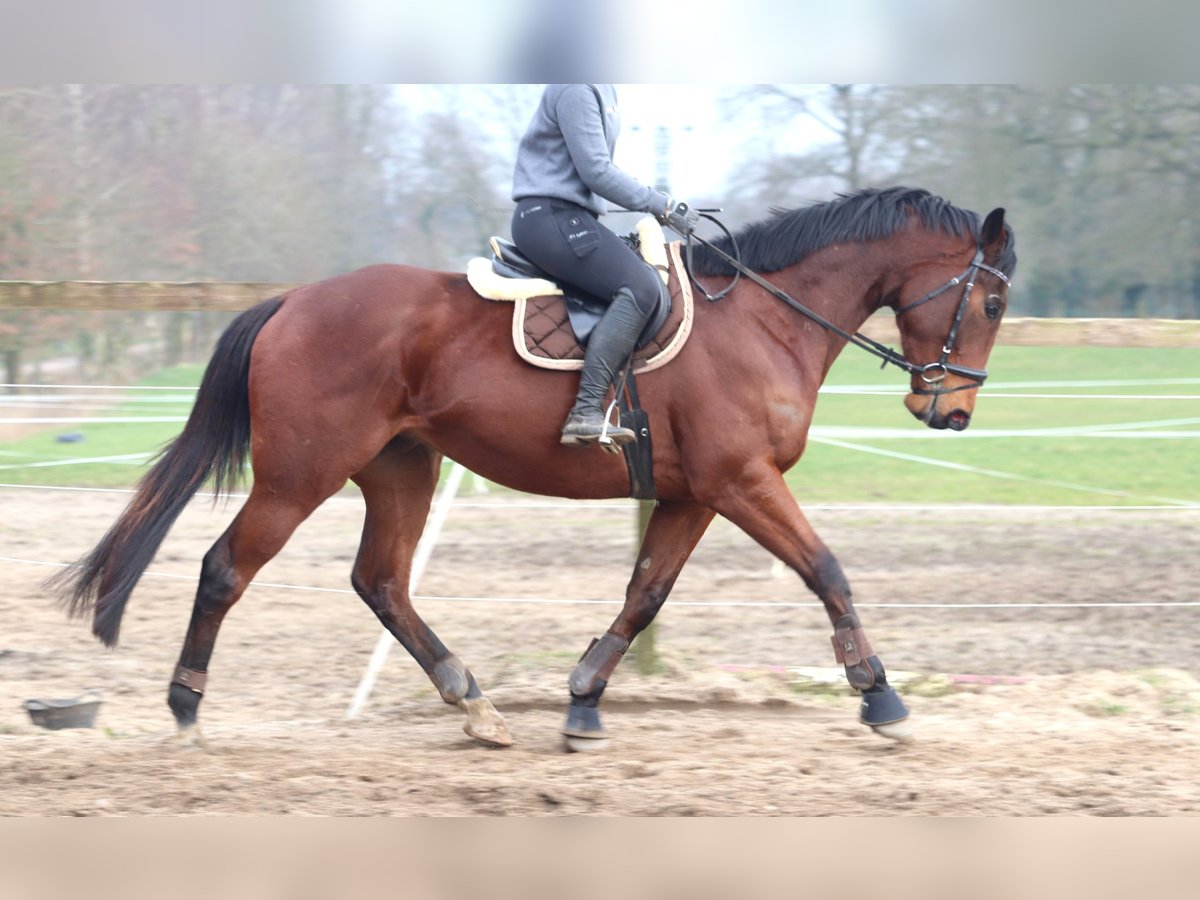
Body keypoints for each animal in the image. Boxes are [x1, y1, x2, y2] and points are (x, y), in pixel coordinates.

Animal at [51, 188, 1017, 753]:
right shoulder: (741, 482)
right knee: (227, 568)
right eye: (992, 301)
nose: (951, 412)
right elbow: (827, 570)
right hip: (300, 475)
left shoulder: (693, 494)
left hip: (400, 468)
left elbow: (644, 594)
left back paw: (471, 702)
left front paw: (584, 701)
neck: (765, 320)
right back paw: (185, 708)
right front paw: (878, 695)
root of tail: (293, 301)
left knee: (382, 582)